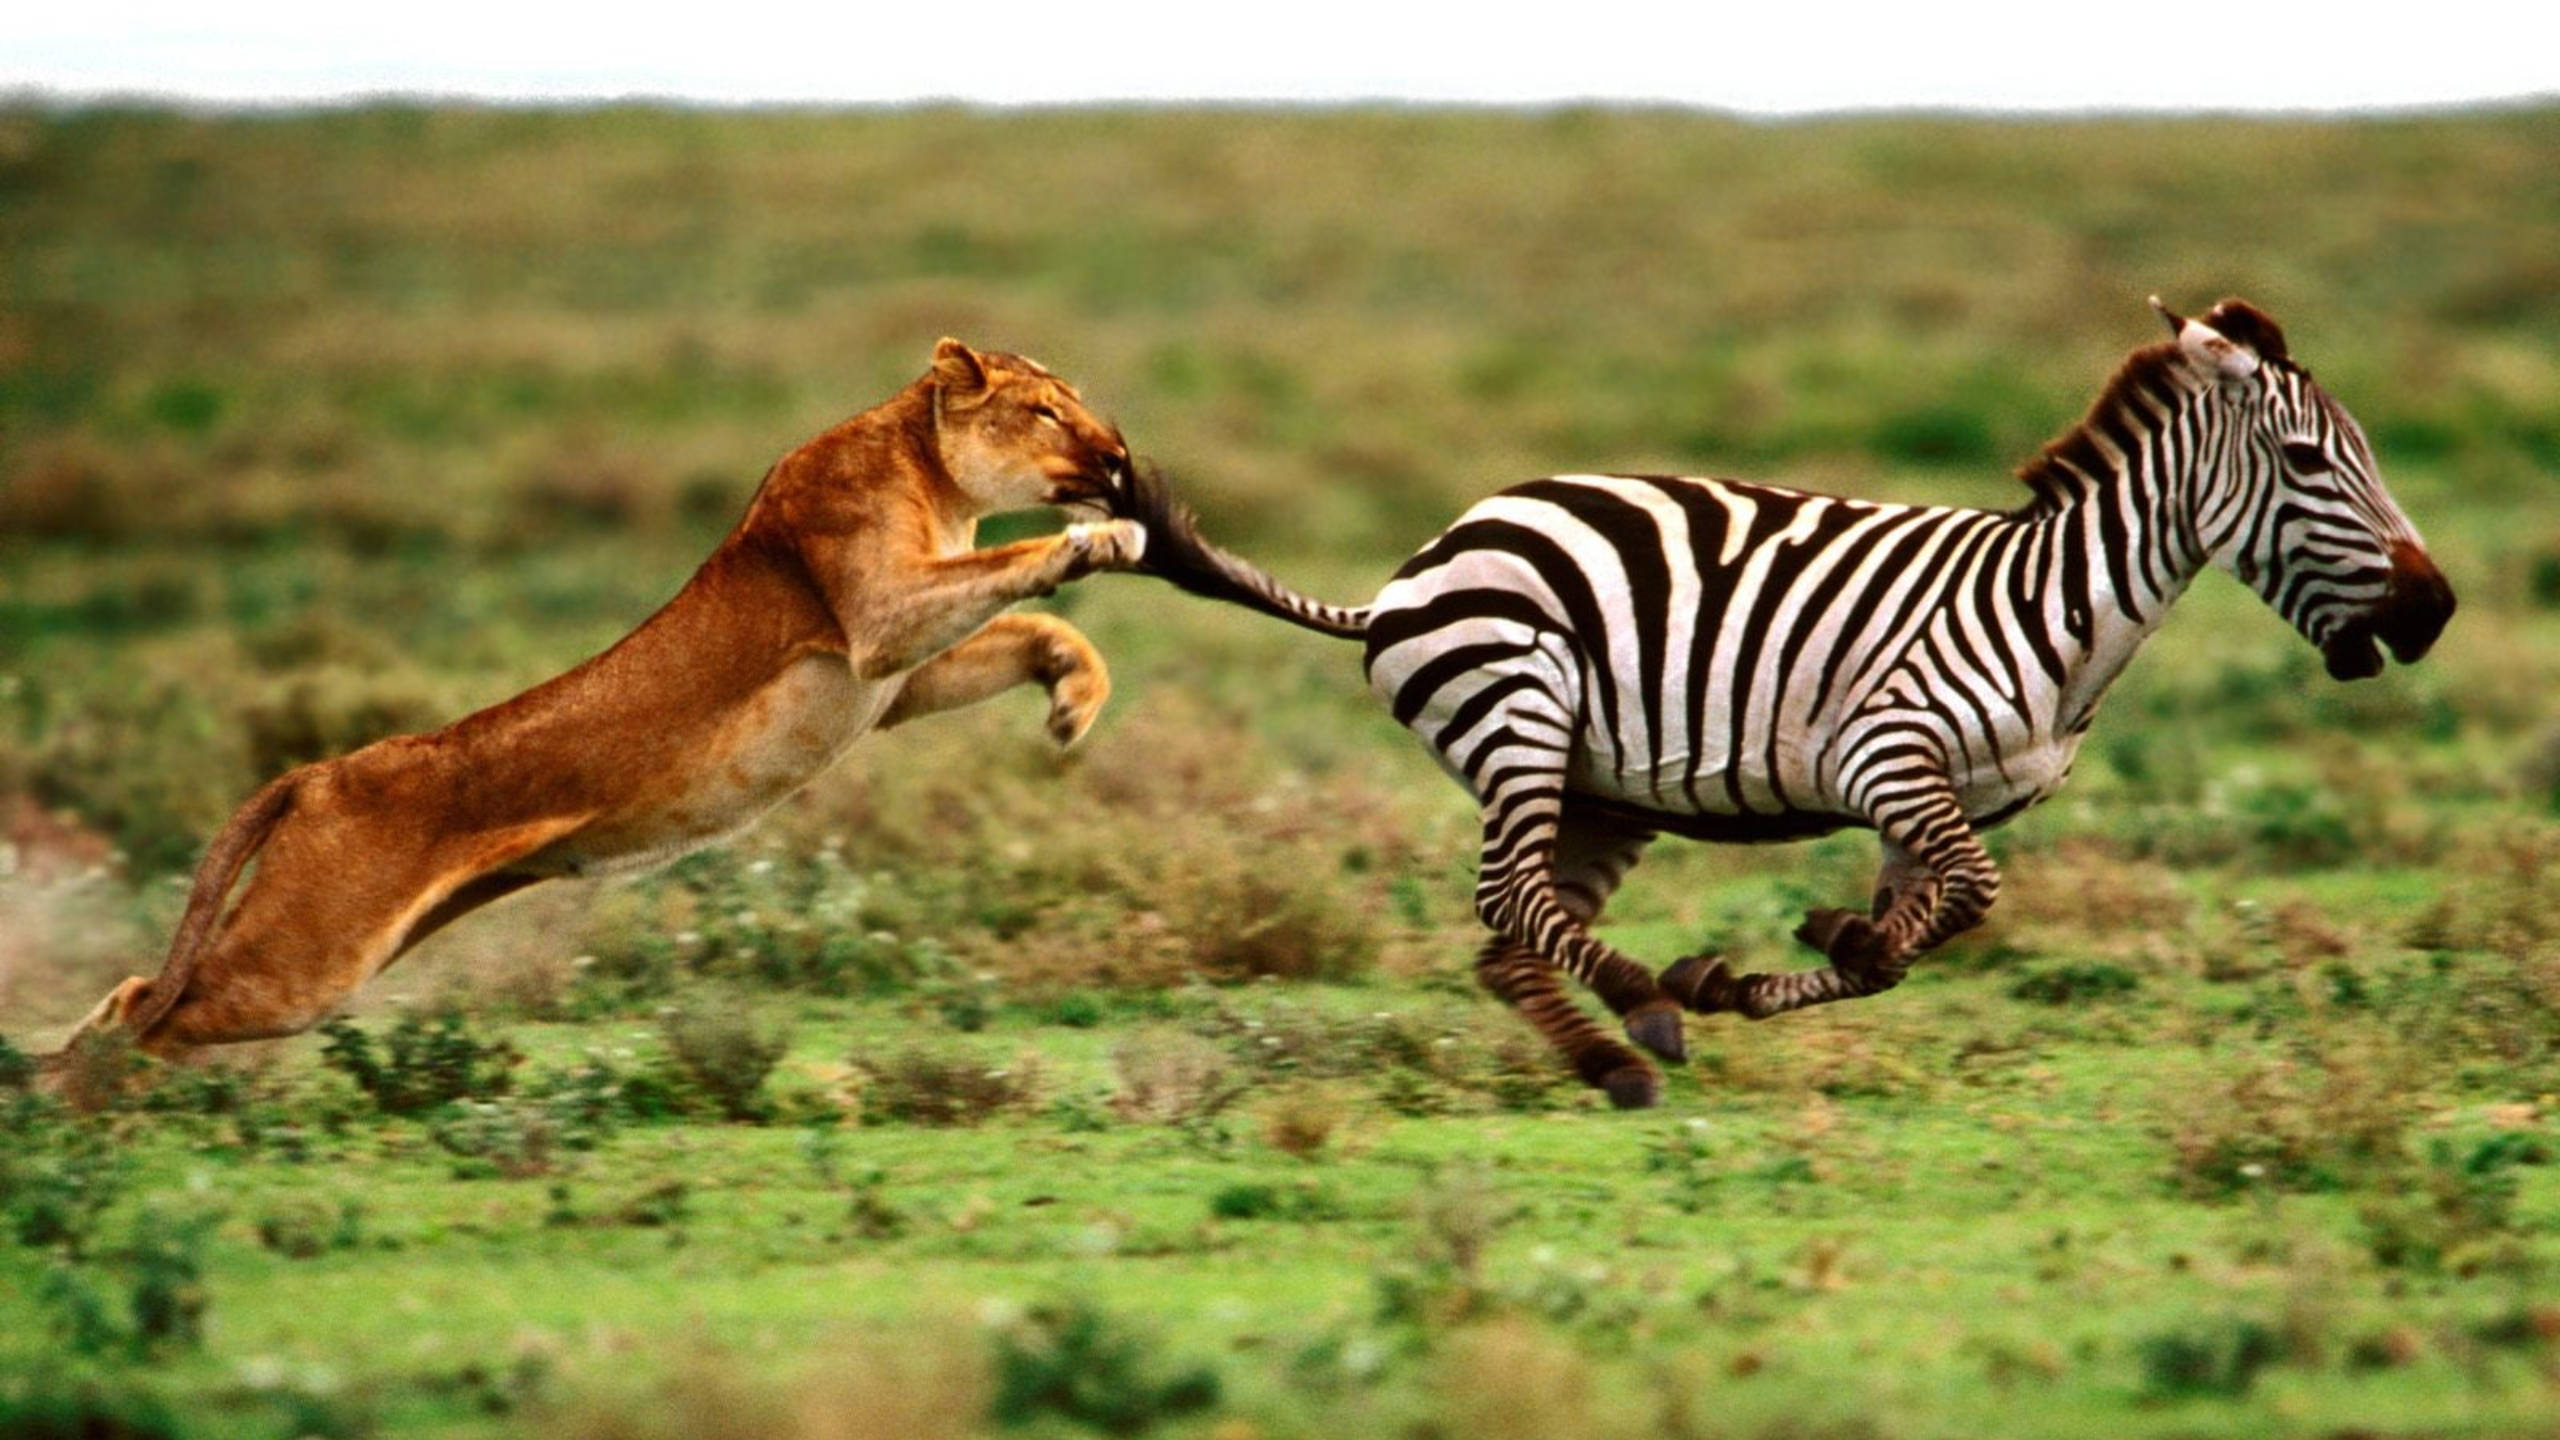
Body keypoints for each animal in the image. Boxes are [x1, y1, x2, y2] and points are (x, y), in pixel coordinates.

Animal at [1114, 298, 2455, 1108]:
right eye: (2309, 463)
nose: (2432, 613)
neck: (2055, 608)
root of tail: (1416, 566)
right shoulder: (1888, 754)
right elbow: (1971, 899)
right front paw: (1748, 972)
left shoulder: (1940, 803)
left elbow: (1917, 936)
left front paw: (1808, 953)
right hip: (1518, 711)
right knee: (1509, 900)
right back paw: (1644, 1010)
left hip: (1596, 787)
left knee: (1509, 930)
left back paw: (1610, 1057)